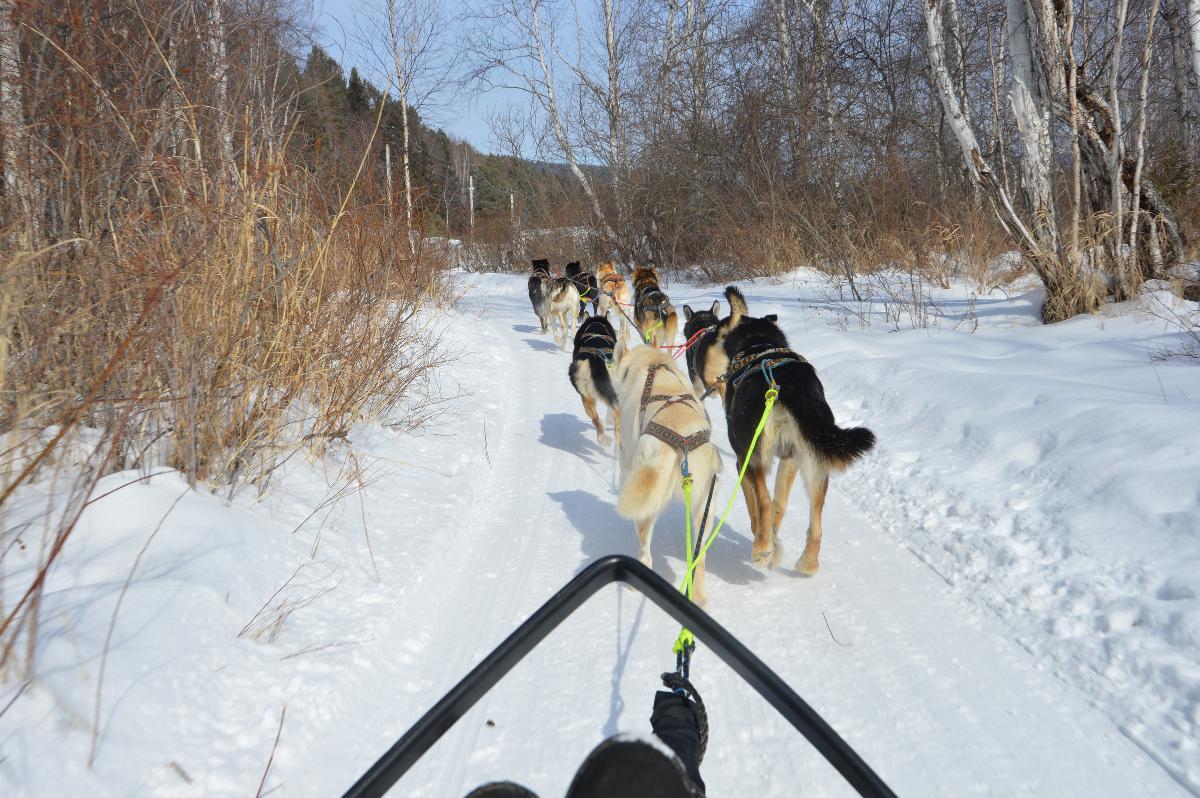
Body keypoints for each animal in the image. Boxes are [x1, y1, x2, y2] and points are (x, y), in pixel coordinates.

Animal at [568, 314, 624, 448]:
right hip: (609, 394)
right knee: (617, 415)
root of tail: (593, 361)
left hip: (586, 397)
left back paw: (603, 438)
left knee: (595, 419)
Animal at [609, 343, 720, 604]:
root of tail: (682, 442)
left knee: (645, 550)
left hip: (646, 505)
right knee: (698, 560)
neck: (652, 365)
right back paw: (698, 597)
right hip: (705, 507)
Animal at [715, 286, 878, 573]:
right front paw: (774, 544)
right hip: (815, 461)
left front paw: (765, 541)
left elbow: (756, 507)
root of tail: (790, 386)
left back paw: (761, 548)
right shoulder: (789, 459)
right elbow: (779, 505)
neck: (759, 345)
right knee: (813, 522)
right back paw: (807, 563)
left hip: (755, 455)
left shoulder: (742, 462)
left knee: (765, 502)